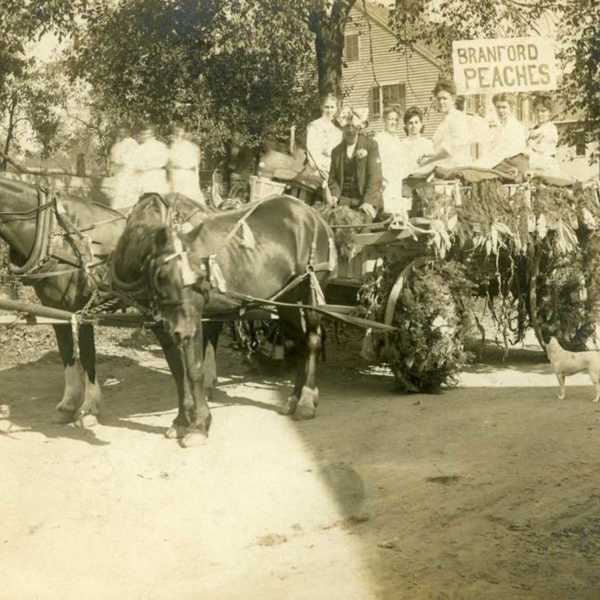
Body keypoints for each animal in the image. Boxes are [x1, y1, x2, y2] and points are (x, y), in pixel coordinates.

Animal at [111, 195, 338, 448]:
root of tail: (314, 216)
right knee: (299, 342)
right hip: (286, 299)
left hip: (309, 290)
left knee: (312, 341)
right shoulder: (163, 328)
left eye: (201, 276)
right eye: (161, 277)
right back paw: (293, 399)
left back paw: (307, 401)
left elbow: (194, 370)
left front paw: (199, 425)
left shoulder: (197, 319)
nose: (184, 331)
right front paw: (181, 421)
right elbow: (179, 374)